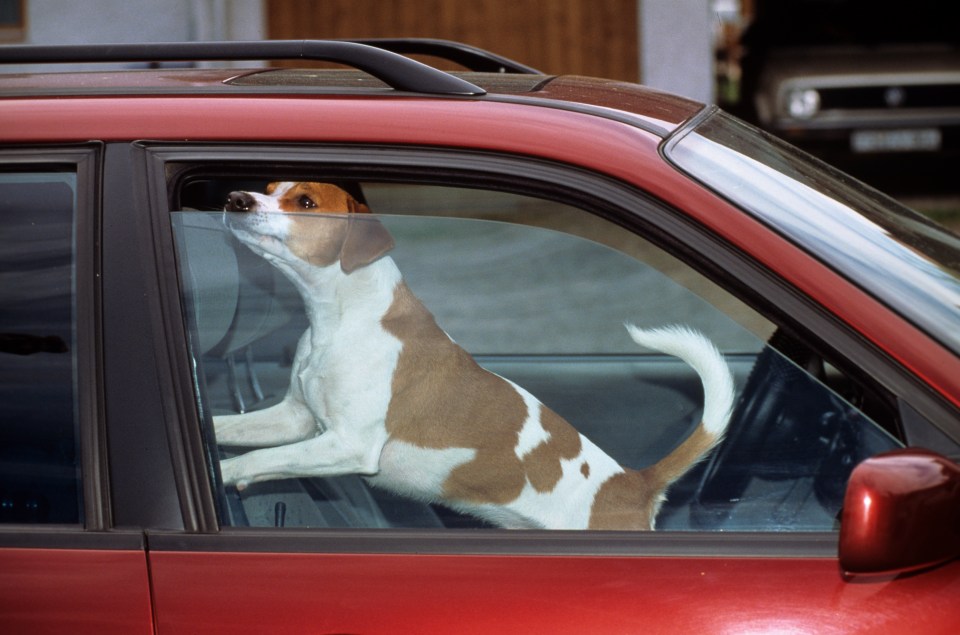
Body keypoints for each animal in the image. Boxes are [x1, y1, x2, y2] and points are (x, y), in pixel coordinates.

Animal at [214, 181, 732, 528]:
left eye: (305, 203)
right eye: (267, 189)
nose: (236, 198)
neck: (339, 320)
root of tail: (634, 484)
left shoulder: (347, 444)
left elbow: (253, 460)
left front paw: (221, 473)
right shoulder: (296, 420)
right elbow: (231, 431)